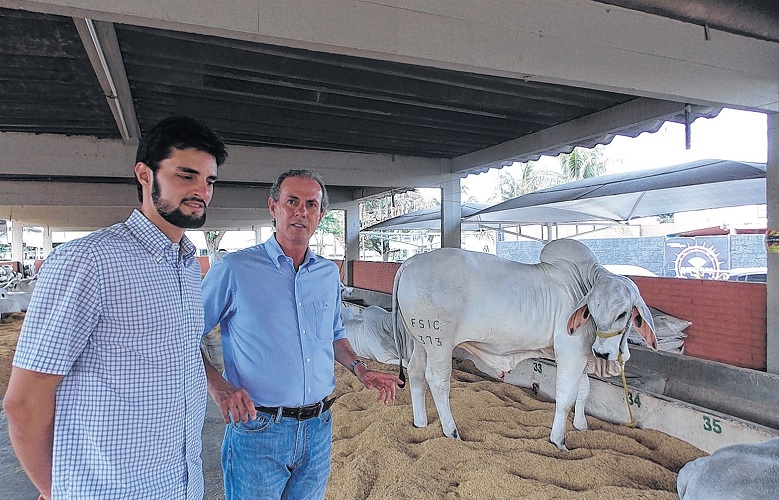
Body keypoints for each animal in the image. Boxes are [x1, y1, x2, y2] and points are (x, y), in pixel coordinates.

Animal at [390, 238, 660, 450]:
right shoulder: (571, 352)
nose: (602, 352)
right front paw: (559, 441)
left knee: (416, 374)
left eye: (623, 313)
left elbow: (583, 391)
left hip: (420, 343)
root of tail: (410, 262)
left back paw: (421, 423)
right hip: (438, 344)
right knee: (437, 381)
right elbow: (566, 397)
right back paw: (452, 432)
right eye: (592, 310)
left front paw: (581, 426)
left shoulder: (582, 354)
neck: (583, 281)